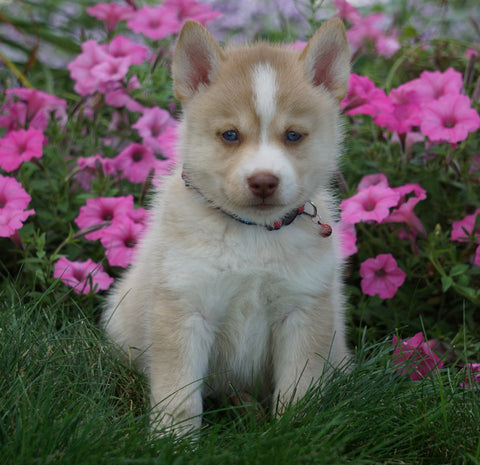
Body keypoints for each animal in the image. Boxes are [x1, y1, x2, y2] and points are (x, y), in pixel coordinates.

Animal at [103, 17, 350, 432]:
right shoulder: (185, 308)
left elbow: (298, 391)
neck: (253, 233)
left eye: (293, 135)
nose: (264, 181)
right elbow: (180, 397)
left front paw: (292, 432)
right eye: (230, 135)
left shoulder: (302, 311)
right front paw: (172, 440)